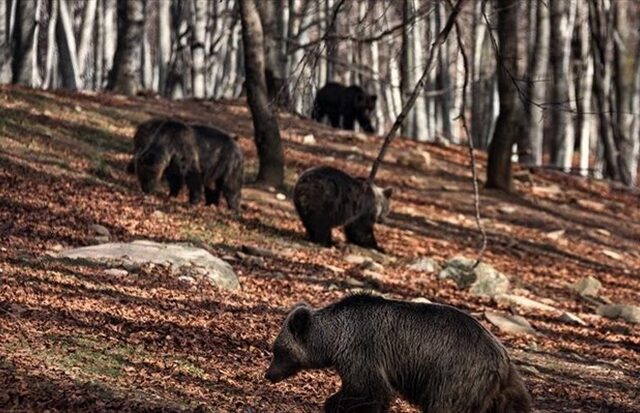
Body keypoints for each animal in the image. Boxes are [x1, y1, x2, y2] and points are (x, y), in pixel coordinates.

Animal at [268, 292, 532, 412]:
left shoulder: (362, 350)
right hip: (504, 389)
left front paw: (334, 404)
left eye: (278, 350)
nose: (268, 374)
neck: (335, 338)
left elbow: (369, 391)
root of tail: (501, 359)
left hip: (455, 377)